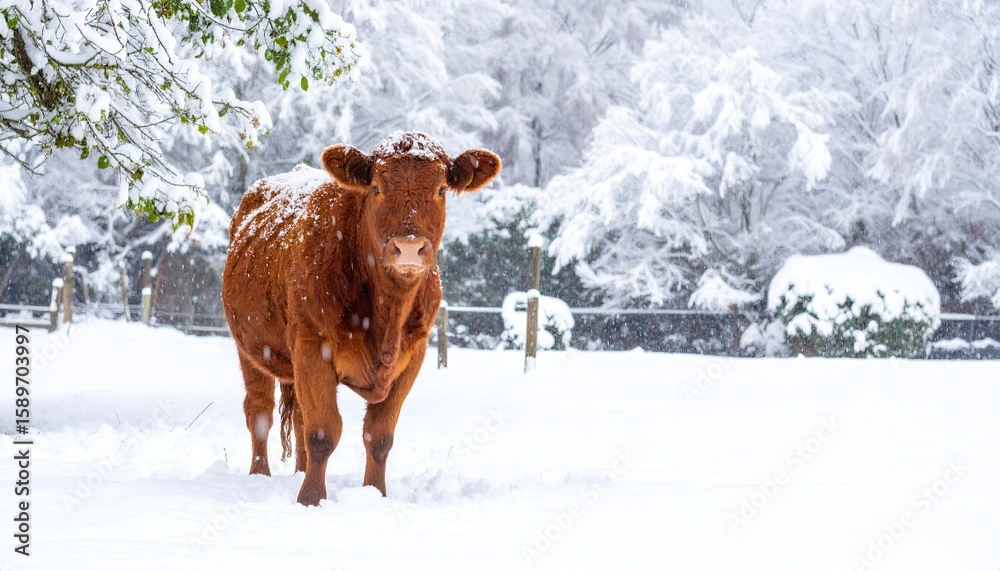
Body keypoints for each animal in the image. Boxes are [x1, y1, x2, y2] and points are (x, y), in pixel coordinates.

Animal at [221, 132, 501, 505]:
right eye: (377, 188)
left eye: (441, 189)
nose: (408, 247)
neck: (388, 313)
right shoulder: (312, 345)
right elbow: (323, 431)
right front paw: (310, 500)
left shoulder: (413, 356)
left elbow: (379, 436)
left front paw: (375, 494)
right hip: (249, 349)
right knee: (260, 413)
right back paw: (260, 476)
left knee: (299, 416)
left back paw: (297, 472)